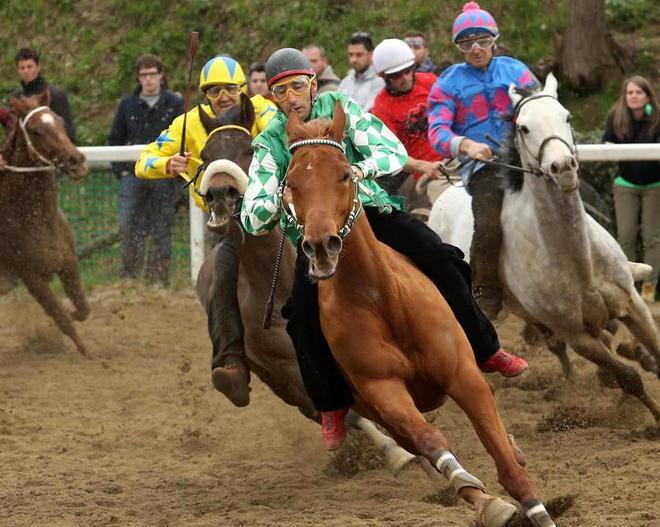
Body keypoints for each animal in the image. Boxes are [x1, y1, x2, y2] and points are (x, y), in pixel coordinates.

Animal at [0, 94, 90, 355]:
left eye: (60, 122)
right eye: (36, 131)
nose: (77, 161)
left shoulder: (68, 263)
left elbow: (82, 308)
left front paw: (72, 310)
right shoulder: (31, 277)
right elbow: (63, 319)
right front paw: (85, 352)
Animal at [193, 96, 416, 474]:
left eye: (247, 150)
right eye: (206, 154)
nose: (221, 194)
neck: (277, 283)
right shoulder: (291, 373)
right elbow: (347, 412)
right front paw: (396, 451)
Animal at [428, 73, 660, 421]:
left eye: (567, 116)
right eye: (523, 127)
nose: (562, 166)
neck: (576, 257)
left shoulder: (633, 305)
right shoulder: (577, 335)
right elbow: (629, 378)